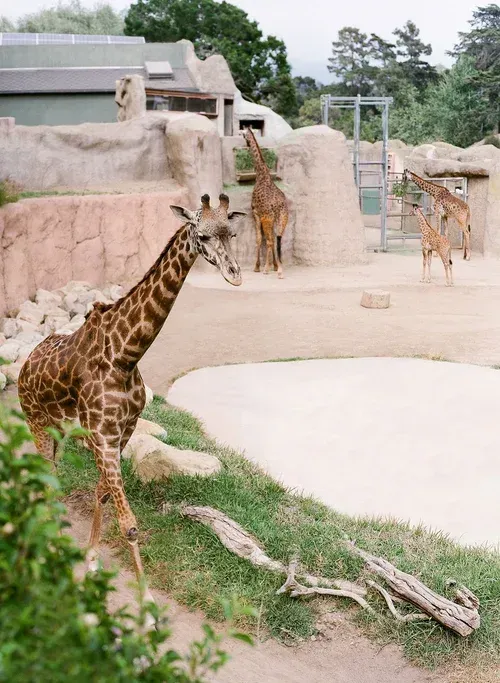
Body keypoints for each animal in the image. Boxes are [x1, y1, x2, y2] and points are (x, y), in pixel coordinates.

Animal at [18, 193, 245, 624]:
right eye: (202, 234)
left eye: (233, 233)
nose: (235, 275)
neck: (125, 355)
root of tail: (25, 365)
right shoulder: (103, 439)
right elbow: (130, 525)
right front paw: (149, 607)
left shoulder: (121, 434)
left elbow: (102, 495)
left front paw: (90, 561)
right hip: (35, 420)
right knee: (45, 481)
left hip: (60, 432)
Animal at [244, 127, 289, 278]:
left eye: (244, 135)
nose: (246, 143)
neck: (262, 174)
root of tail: (278, 206)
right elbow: (273, 240)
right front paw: (274, 265)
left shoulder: (256, 213)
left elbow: (259, 239)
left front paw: (257, 266)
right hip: (282, 218)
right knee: (278, 238)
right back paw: (279, 269)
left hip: (267, 218)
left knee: (269, 241)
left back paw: (266, 269)